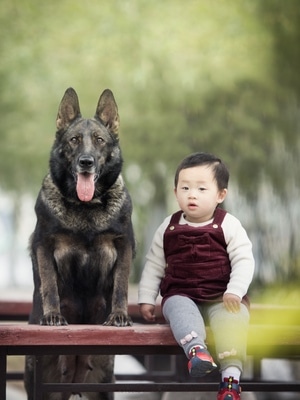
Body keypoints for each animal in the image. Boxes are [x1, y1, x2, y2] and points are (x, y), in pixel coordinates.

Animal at [24, 88, 135, 400]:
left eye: (99, 140)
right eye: (74, 140)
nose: (86, 162)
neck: (85, 206)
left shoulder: (123, 246)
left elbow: (121, 286)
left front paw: (119, 315)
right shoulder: (44, 245)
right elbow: (49, 285)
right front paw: (52, 316)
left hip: (103, 385)